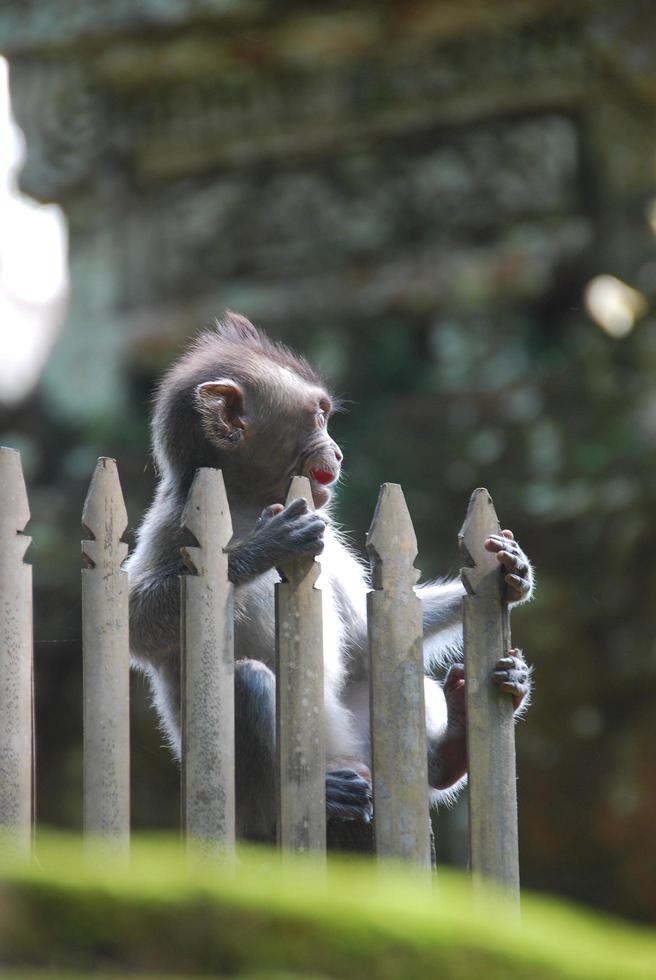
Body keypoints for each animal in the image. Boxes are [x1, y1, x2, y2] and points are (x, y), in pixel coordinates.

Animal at [127, 314, 532, 844]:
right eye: (318, 418)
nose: (338, 453)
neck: (245, 499)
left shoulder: (329, 537)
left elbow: (362, 637)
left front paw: (514, 571)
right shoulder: (174, 522)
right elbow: (134, 623)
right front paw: (264, 547)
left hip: (360, 745)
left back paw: (450, 751)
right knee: (249, 683)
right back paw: (305, 799)